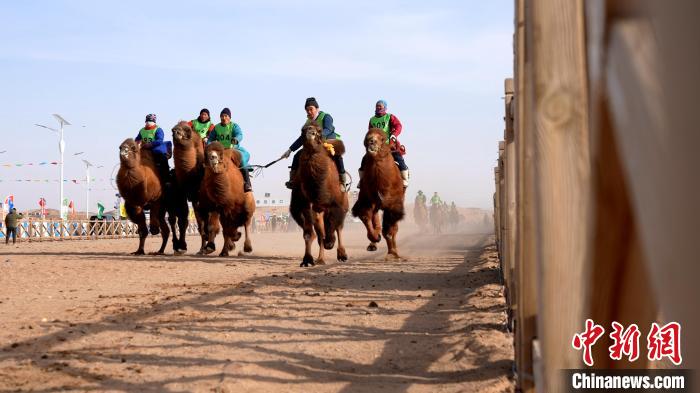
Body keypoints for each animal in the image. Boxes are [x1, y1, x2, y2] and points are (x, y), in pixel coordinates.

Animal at [288, 121, 348, 264]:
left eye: (320, 130)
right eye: (302, 130)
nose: (311, 132)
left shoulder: (336, 205)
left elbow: (333, 227)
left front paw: (331, 243)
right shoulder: (303, 206)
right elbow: (308, 234)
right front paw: (307, 260)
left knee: (338, 228)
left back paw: (342, 254)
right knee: (320, 234)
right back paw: (320, 259)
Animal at [352, 127, 408, 258]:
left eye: (382, 139)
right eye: (367, 137)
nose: (371, 141)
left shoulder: (393, 204)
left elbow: (389, 228)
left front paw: (392, 253)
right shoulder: (367, 200)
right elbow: (366, 217)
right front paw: (375, 238)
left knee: (392, 226)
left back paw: (394, 250)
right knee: (376, 218)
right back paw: (373, 244)